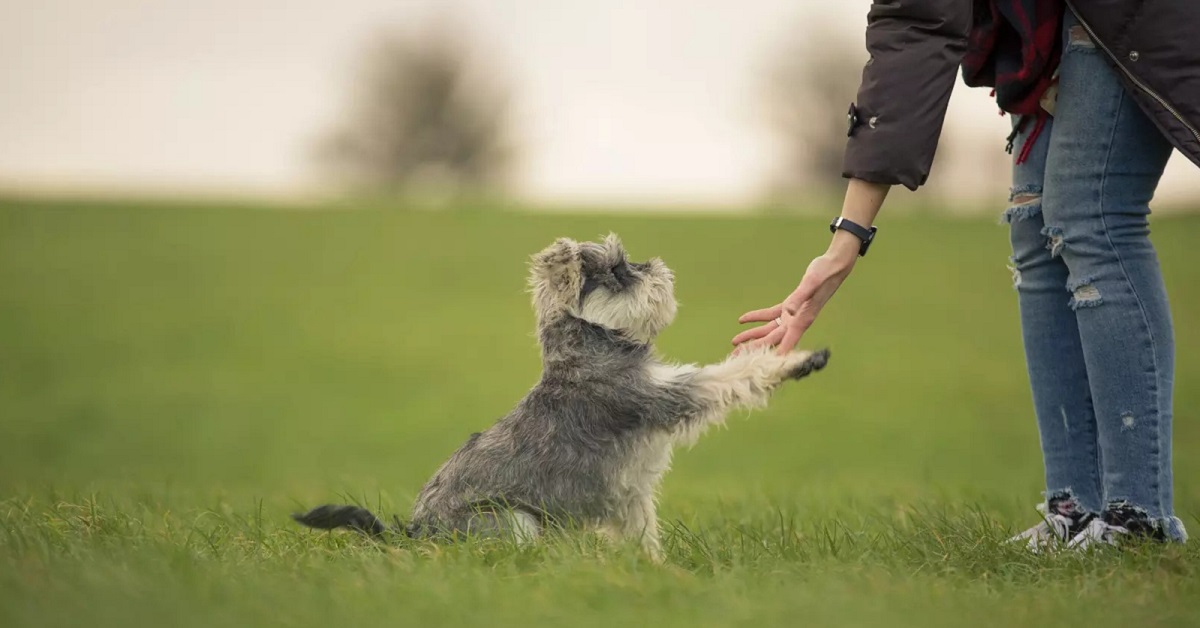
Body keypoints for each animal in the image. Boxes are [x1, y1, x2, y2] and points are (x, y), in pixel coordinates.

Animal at [295, 232, 830, 561]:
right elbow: (734, 374)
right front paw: (798, 359)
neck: (592, 346)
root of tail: (411, 535)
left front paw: (656, 571)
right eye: (616, 271)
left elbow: (644, 540)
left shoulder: (631, 494)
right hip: (512, 522)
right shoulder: (668, 395)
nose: (653, 266)